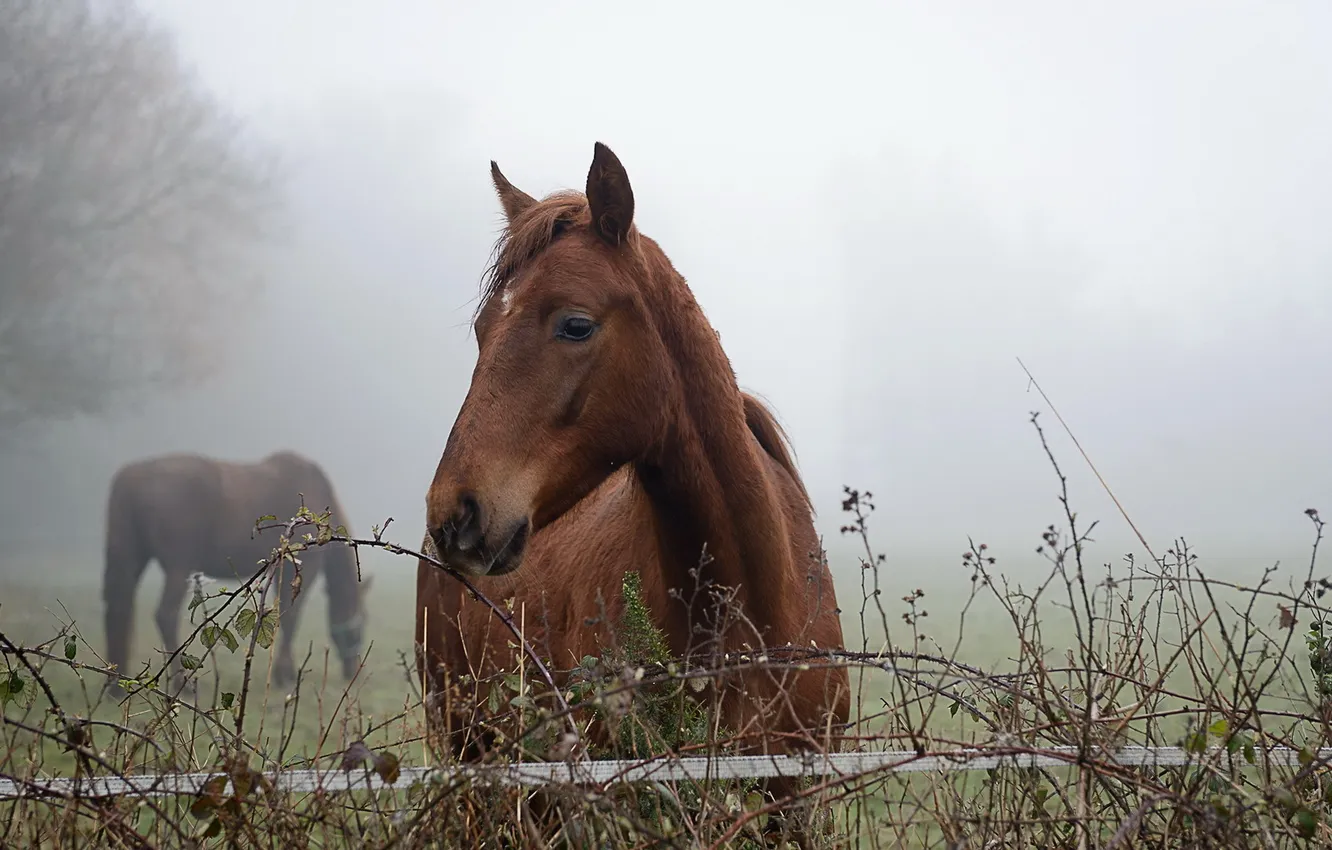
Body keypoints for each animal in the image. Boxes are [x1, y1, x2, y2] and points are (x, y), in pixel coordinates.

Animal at [101, 450, 375, 698]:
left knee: (118, 609)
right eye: (362, 620)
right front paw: (284, 675)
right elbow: (290, 618)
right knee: (165, 615)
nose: (354, 669)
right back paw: (182, 685)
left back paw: (115, 685)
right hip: (178, 567)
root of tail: (132, 477)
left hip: (130, 559)